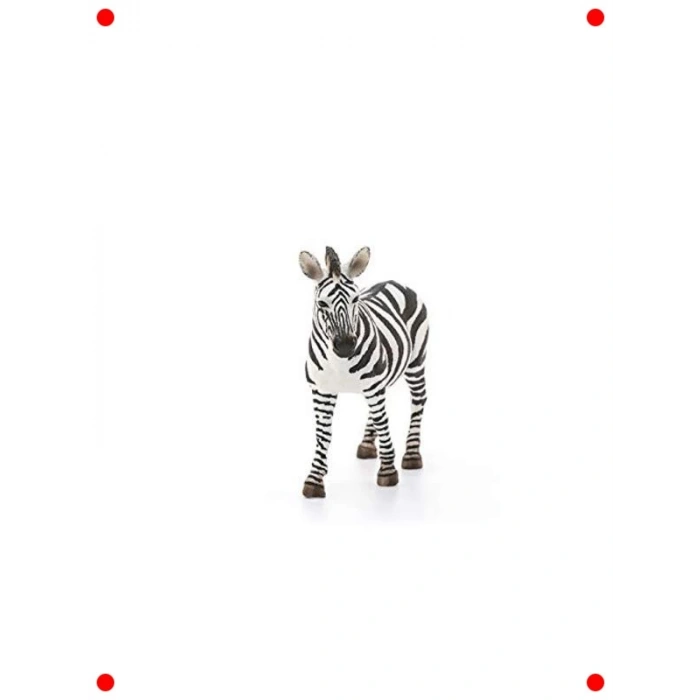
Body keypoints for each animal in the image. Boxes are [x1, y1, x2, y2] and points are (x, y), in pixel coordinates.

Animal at [298, 246, 429, 498]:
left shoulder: (374, 385)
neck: (339, 363)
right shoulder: (321, 391)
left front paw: (388, 471)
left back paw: (411, 455)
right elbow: (323, 435)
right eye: (322, 304)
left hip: (416, 361)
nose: (346, 345)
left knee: (418, 401)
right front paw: (315, 478)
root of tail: (394, 281)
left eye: (356, 299)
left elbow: (384, 423)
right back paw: (368, 444)